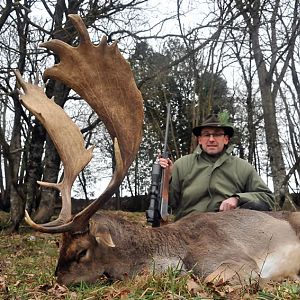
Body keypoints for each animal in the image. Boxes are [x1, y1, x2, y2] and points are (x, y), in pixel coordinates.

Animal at [15, 14, 300, 286]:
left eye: (82, 251)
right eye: (60, 247)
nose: (56, 283)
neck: (171, 251)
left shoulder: (237, 259)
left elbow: (214, 278)